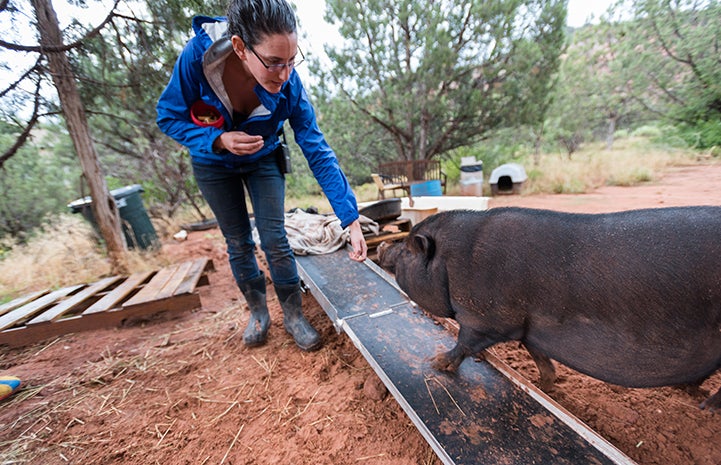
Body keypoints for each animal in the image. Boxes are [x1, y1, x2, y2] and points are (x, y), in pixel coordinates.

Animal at [376, 208, 720, 410]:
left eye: (407, 251)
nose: (382, 246)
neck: (452, 263)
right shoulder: (529, 326)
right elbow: (538, 353)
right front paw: (546, 385)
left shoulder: (488, 318)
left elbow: (465, 343)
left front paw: (436, 363)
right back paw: (687, 391)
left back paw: (704, 408)